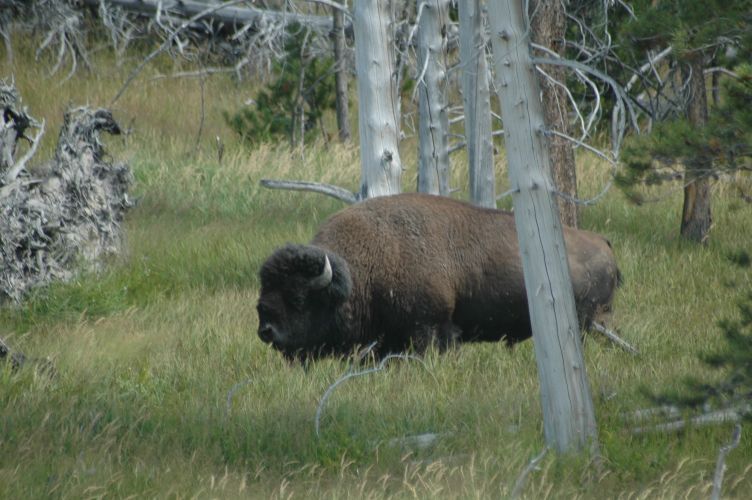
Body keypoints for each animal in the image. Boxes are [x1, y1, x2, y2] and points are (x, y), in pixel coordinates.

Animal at [257, 193, 620, 360]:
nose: (266, 330)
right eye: (265, 290)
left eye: (298, 298)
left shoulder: (429, 328)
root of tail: (603, 242)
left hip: (591, 320)